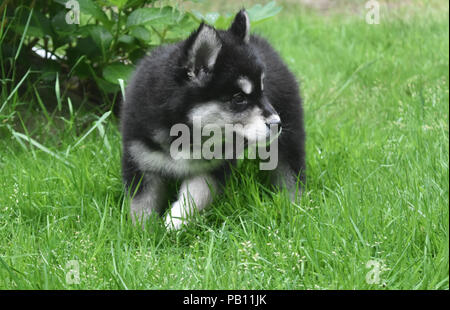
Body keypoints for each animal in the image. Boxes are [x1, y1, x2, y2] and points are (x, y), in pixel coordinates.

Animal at [120, 9, 306, 230]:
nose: (278, 124)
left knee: (290, 172)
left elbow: (196, 195)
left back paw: (294, 207)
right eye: (239, 98)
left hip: (287, 142)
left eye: (263, 91)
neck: (185, 132)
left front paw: (175, 220)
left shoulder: (214, 168)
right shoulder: (140, 162)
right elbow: (140, 204)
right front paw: (143, 232)